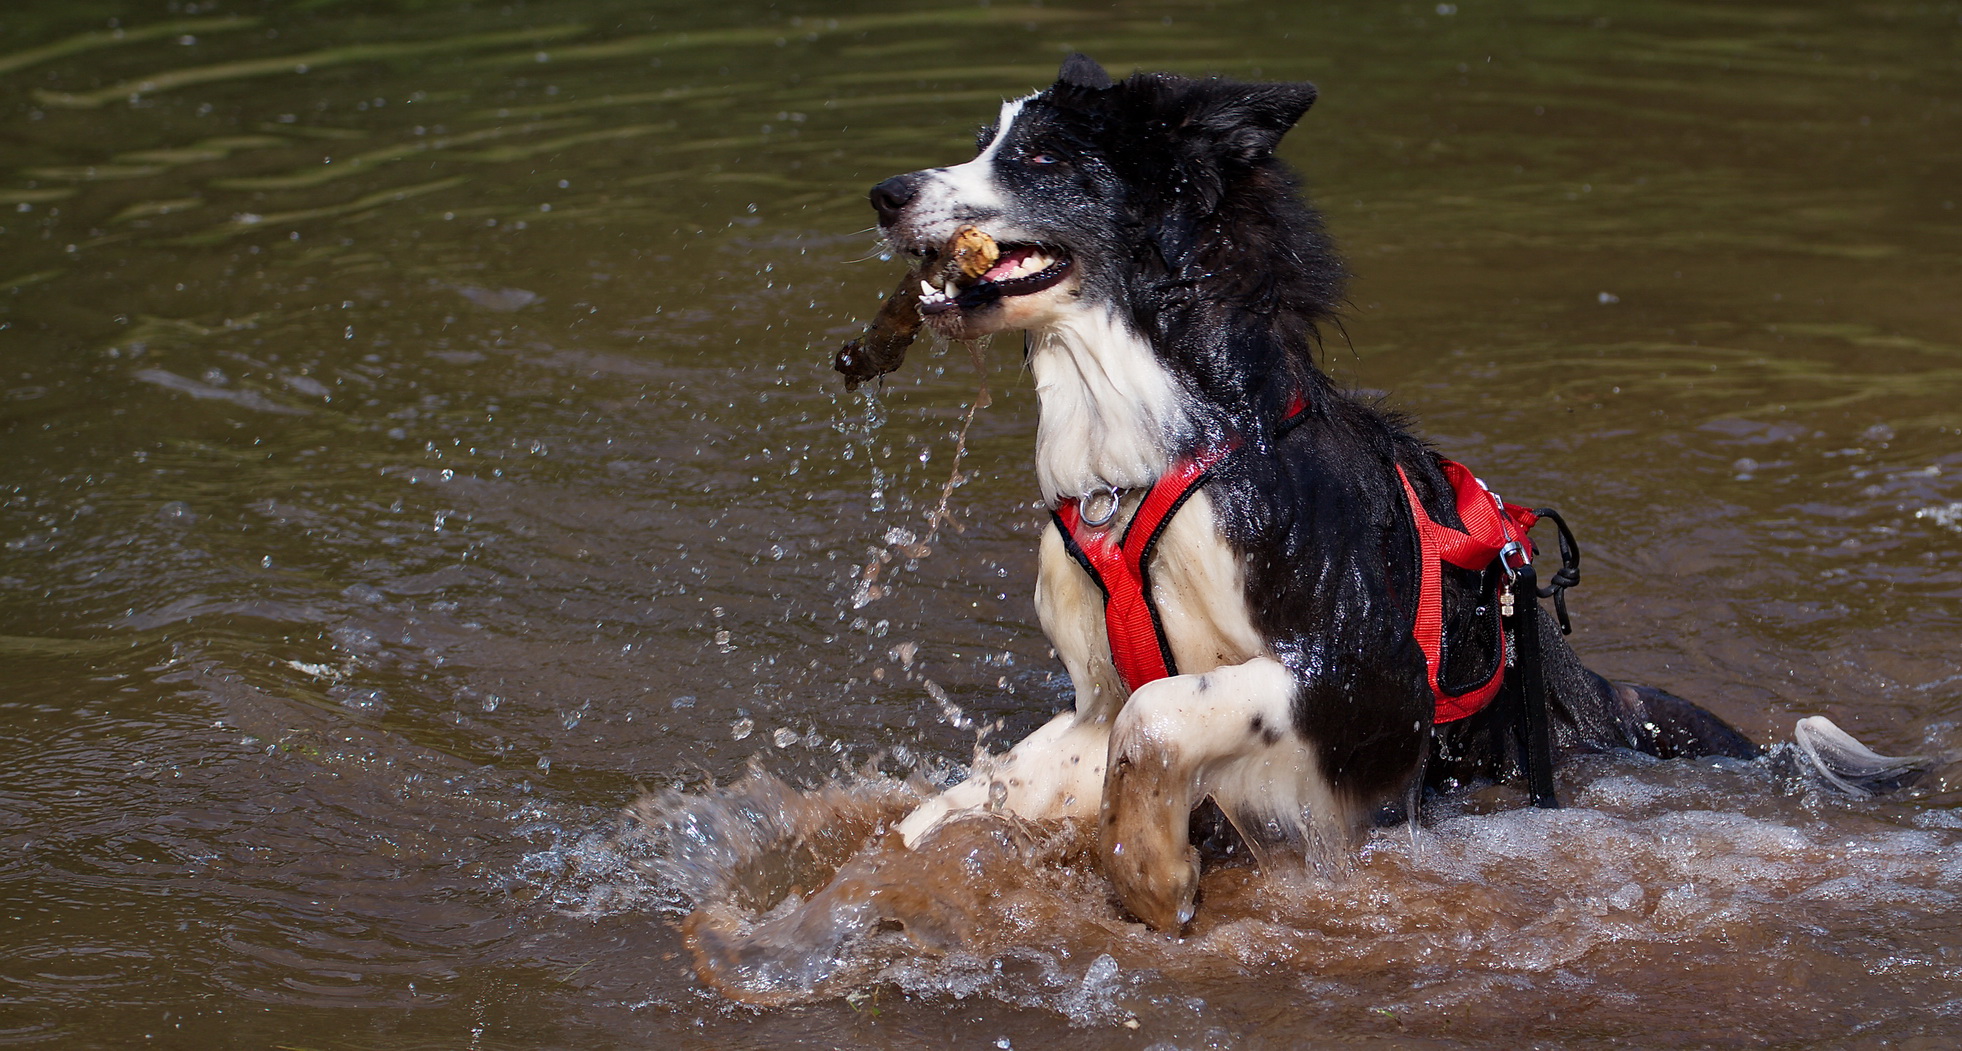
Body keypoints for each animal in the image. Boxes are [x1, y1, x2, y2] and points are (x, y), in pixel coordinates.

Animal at [855, 53, 1914, 933]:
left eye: (1040, 156)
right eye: (988, 139)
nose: (884, 192)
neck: (1164, 439)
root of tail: (1586, 694)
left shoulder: (1367, 679)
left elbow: (1160, 715)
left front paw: (1152, 873)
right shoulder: (1095, 695)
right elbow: (970, 794)